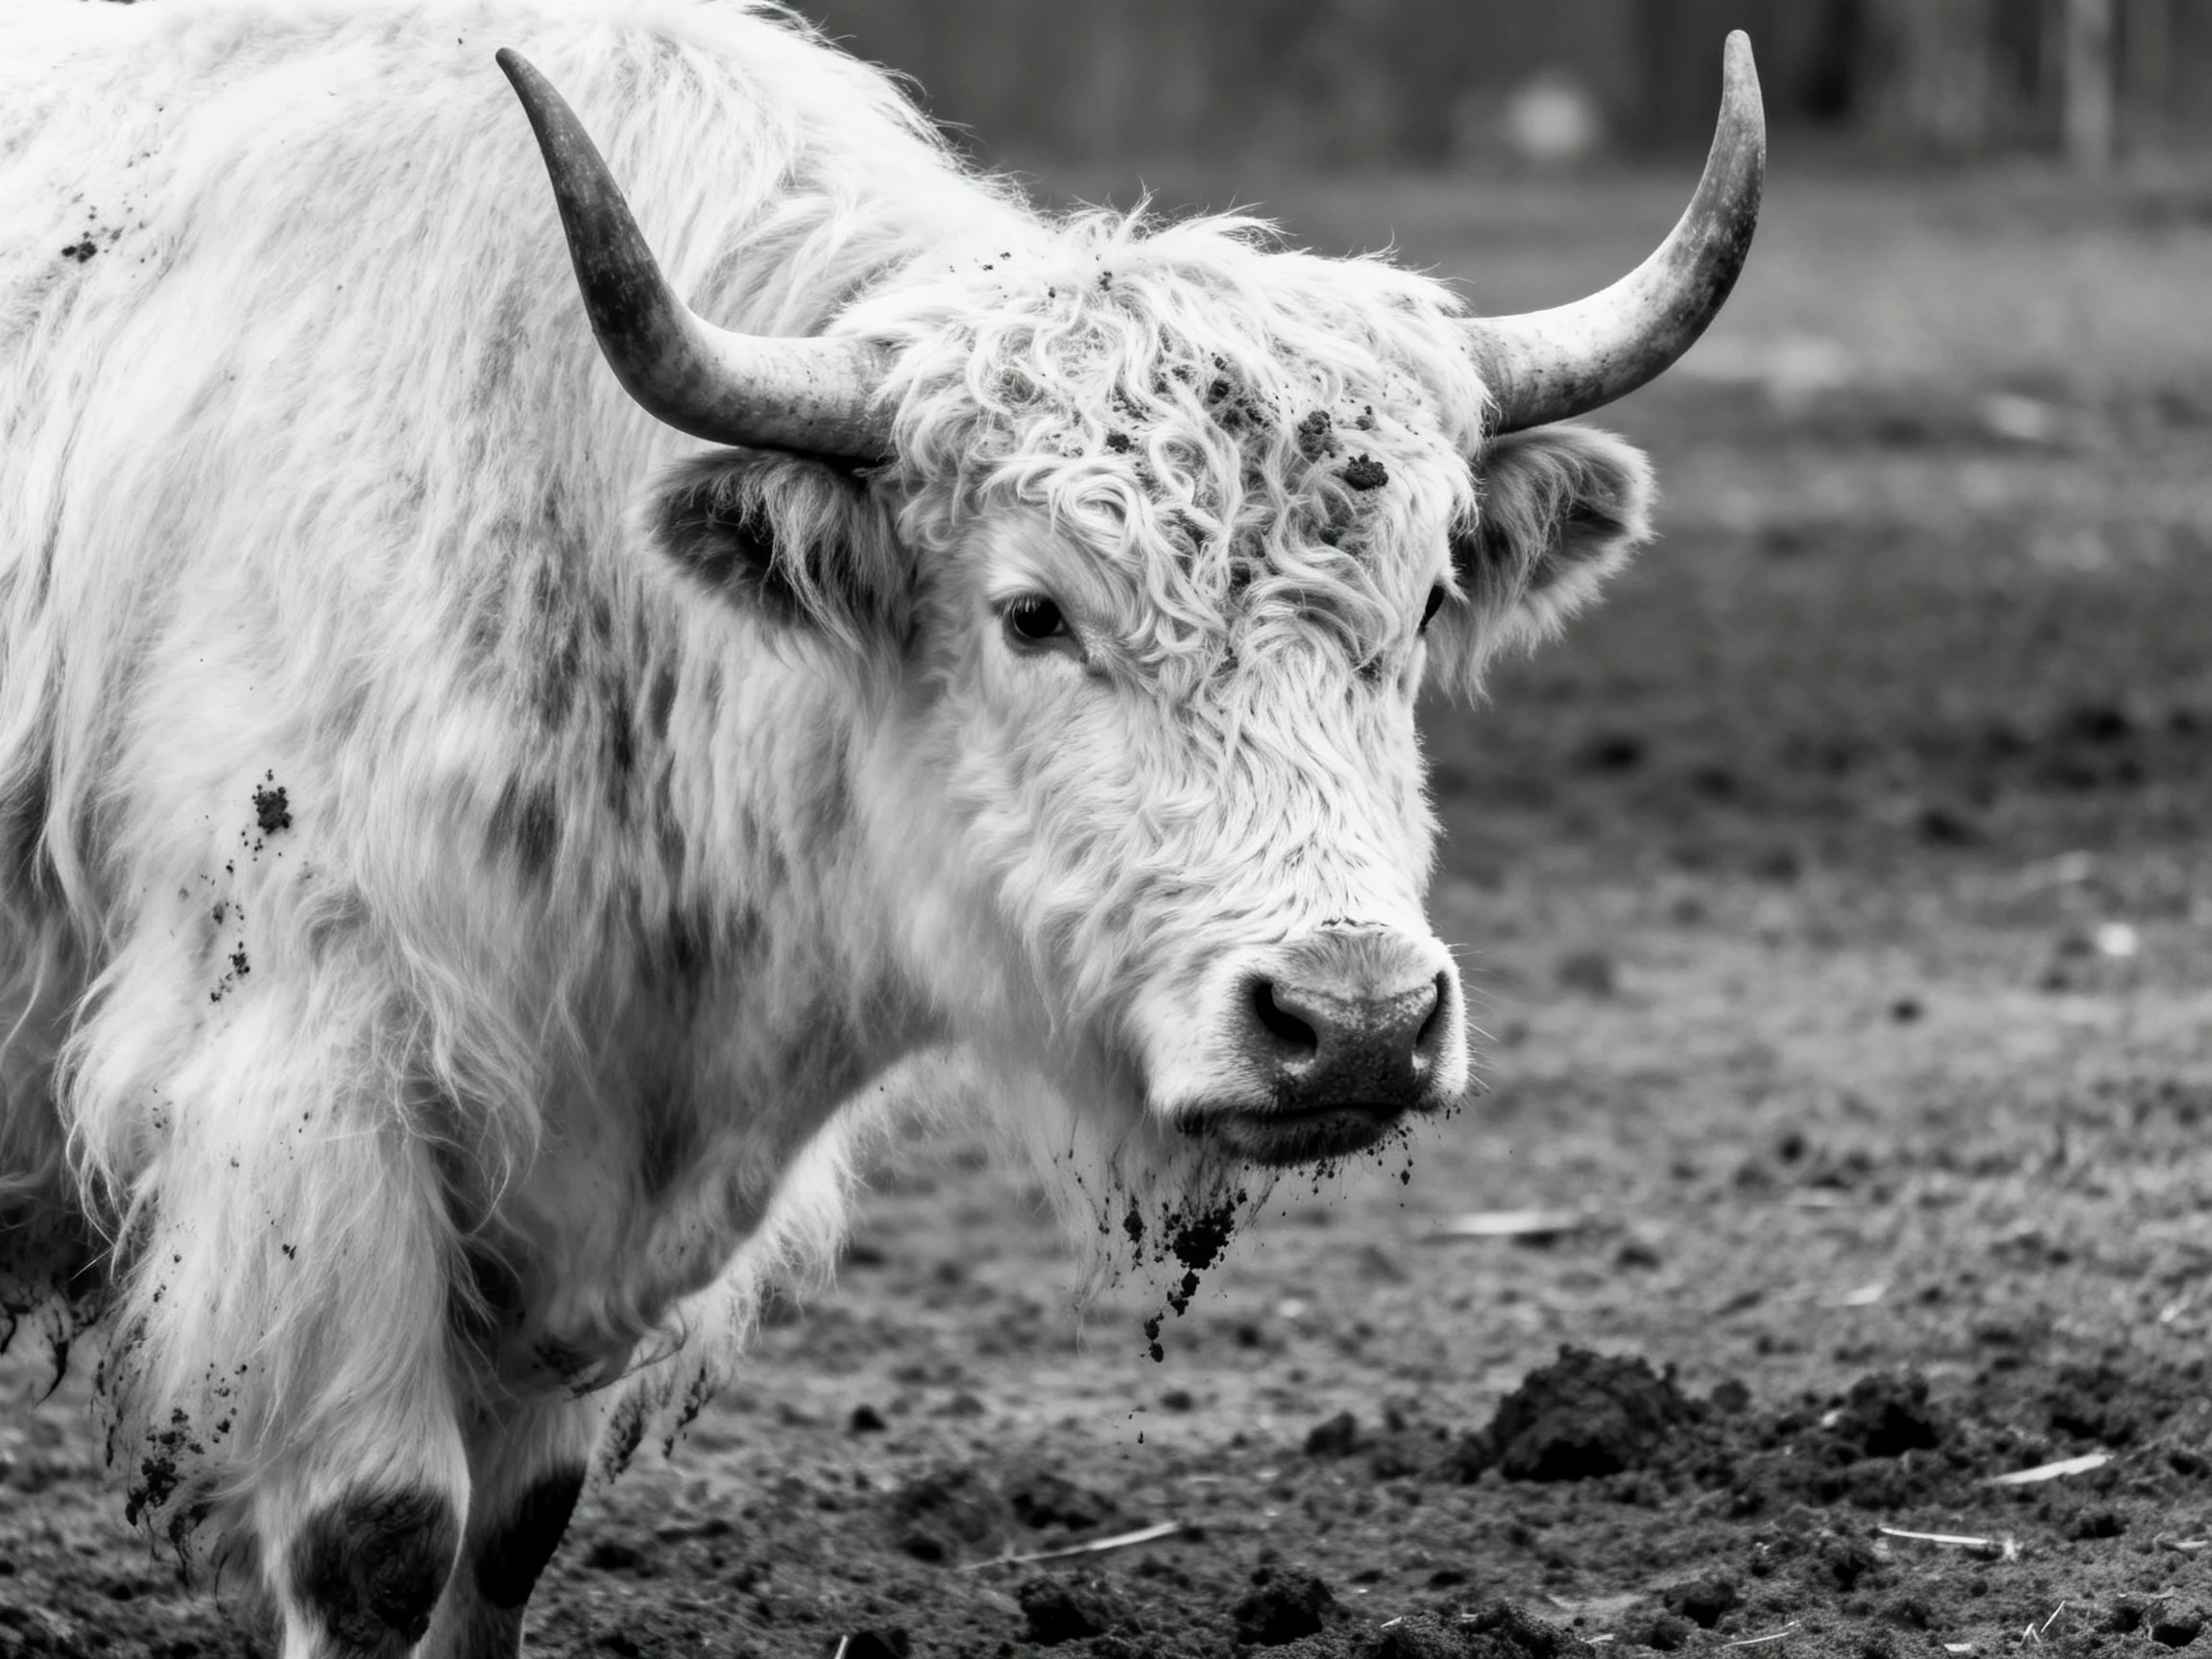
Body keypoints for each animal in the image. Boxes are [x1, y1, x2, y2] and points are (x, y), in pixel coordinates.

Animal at [0, 1, 1762, 1653]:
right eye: (1031, 611)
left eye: (1427, 601)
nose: (1353, 1022)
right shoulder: (302, 1094)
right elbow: (374, 1537)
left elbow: (507, 1544)